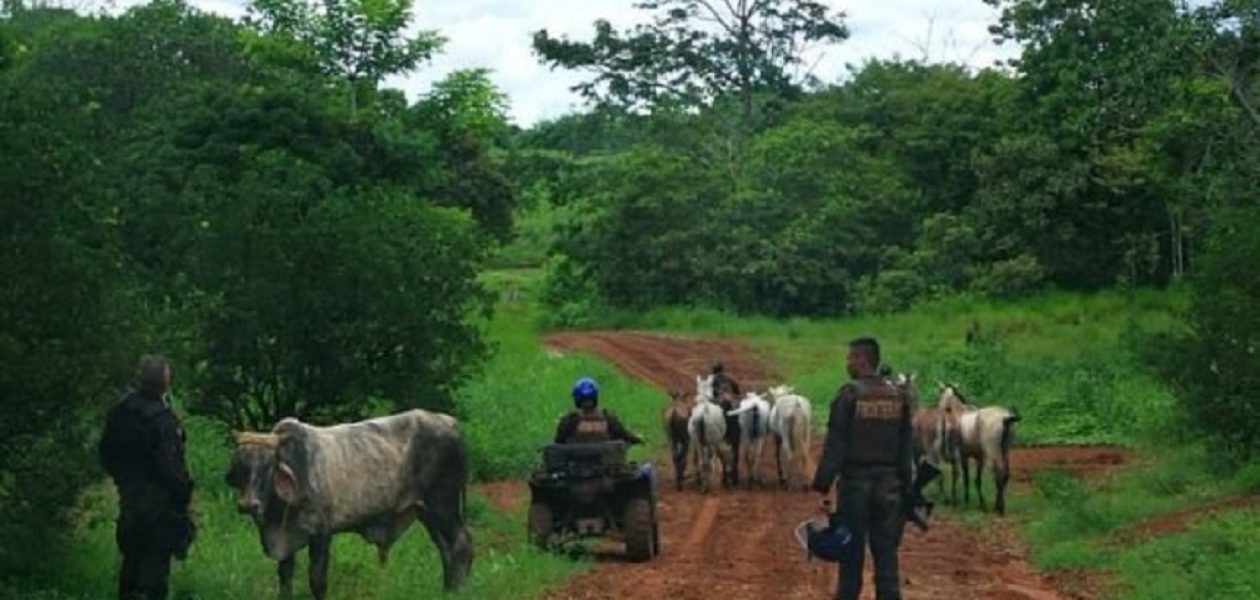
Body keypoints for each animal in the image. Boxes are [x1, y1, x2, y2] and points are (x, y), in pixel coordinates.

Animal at [226, 410, 473, 597]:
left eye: (269, 466)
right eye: (241, 466)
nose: (248, 504)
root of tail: (450, 422)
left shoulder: (321, 534)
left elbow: (317, 581)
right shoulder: (286, 540)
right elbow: (285, 580)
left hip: (444, 506)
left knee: (461, 545)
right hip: (427, 512)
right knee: (445, 549)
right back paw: (448, 590)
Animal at [937, 383, 1023, 516]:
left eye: (941, 395)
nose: (939, 410)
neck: (959, 413)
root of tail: (1006, 418)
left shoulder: (963, 456)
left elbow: (966, 478)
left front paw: (966, 502)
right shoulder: (979, 458)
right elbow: (977, 480)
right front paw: (980, 504)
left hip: (993, 451)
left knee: (999, 472)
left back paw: (998, 508)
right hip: (1005, 449)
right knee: (1006, 474)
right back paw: (999, 506)